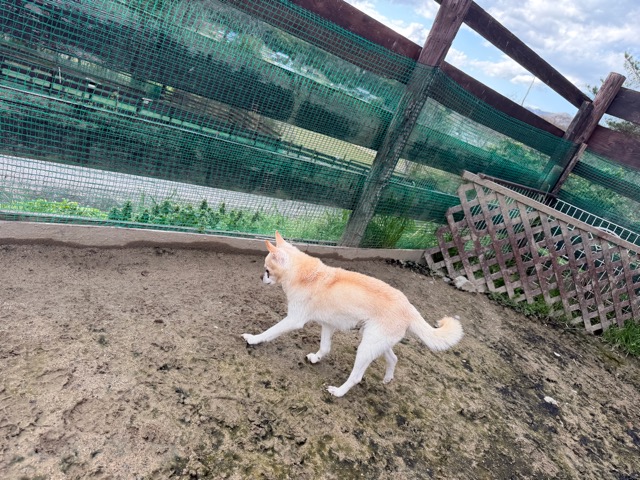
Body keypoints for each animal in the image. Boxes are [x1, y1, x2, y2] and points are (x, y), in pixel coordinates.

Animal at [241, 231, 463, 397]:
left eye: (267, 270)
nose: (260, 277)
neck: (304, 274)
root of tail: (409, 307)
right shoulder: (328, 324)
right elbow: (325, 347)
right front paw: (316, 358)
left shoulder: (293, 320)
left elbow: (270, 331)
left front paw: (253, 339)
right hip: (374, 340)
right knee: (393, 358)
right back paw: (387, 379)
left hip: (367, 346)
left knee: (357, 377)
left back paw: (338, 391)